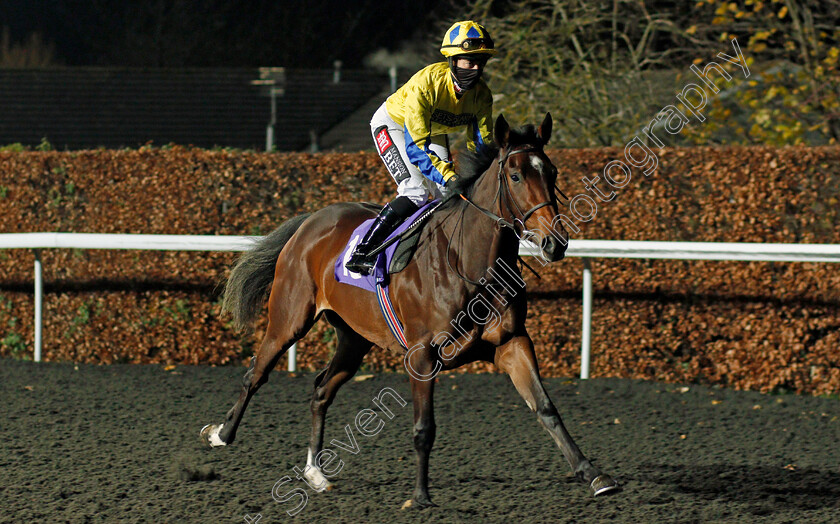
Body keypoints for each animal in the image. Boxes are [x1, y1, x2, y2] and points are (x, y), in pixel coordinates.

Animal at [200, 111, 620, 508]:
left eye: (552, 172)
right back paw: (220, 434)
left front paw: (594, 474)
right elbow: (423, 427)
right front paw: (419, 496)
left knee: (321, 390)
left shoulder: (513, 342)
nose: (555, 243)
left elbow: (546, 408)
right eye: (515, 175)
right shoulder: (422, 353)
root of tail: (311, 221)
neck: (470, 262)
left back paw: (315, 472)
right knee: (256, 373)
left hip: (353, 338)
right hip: (289, 319)